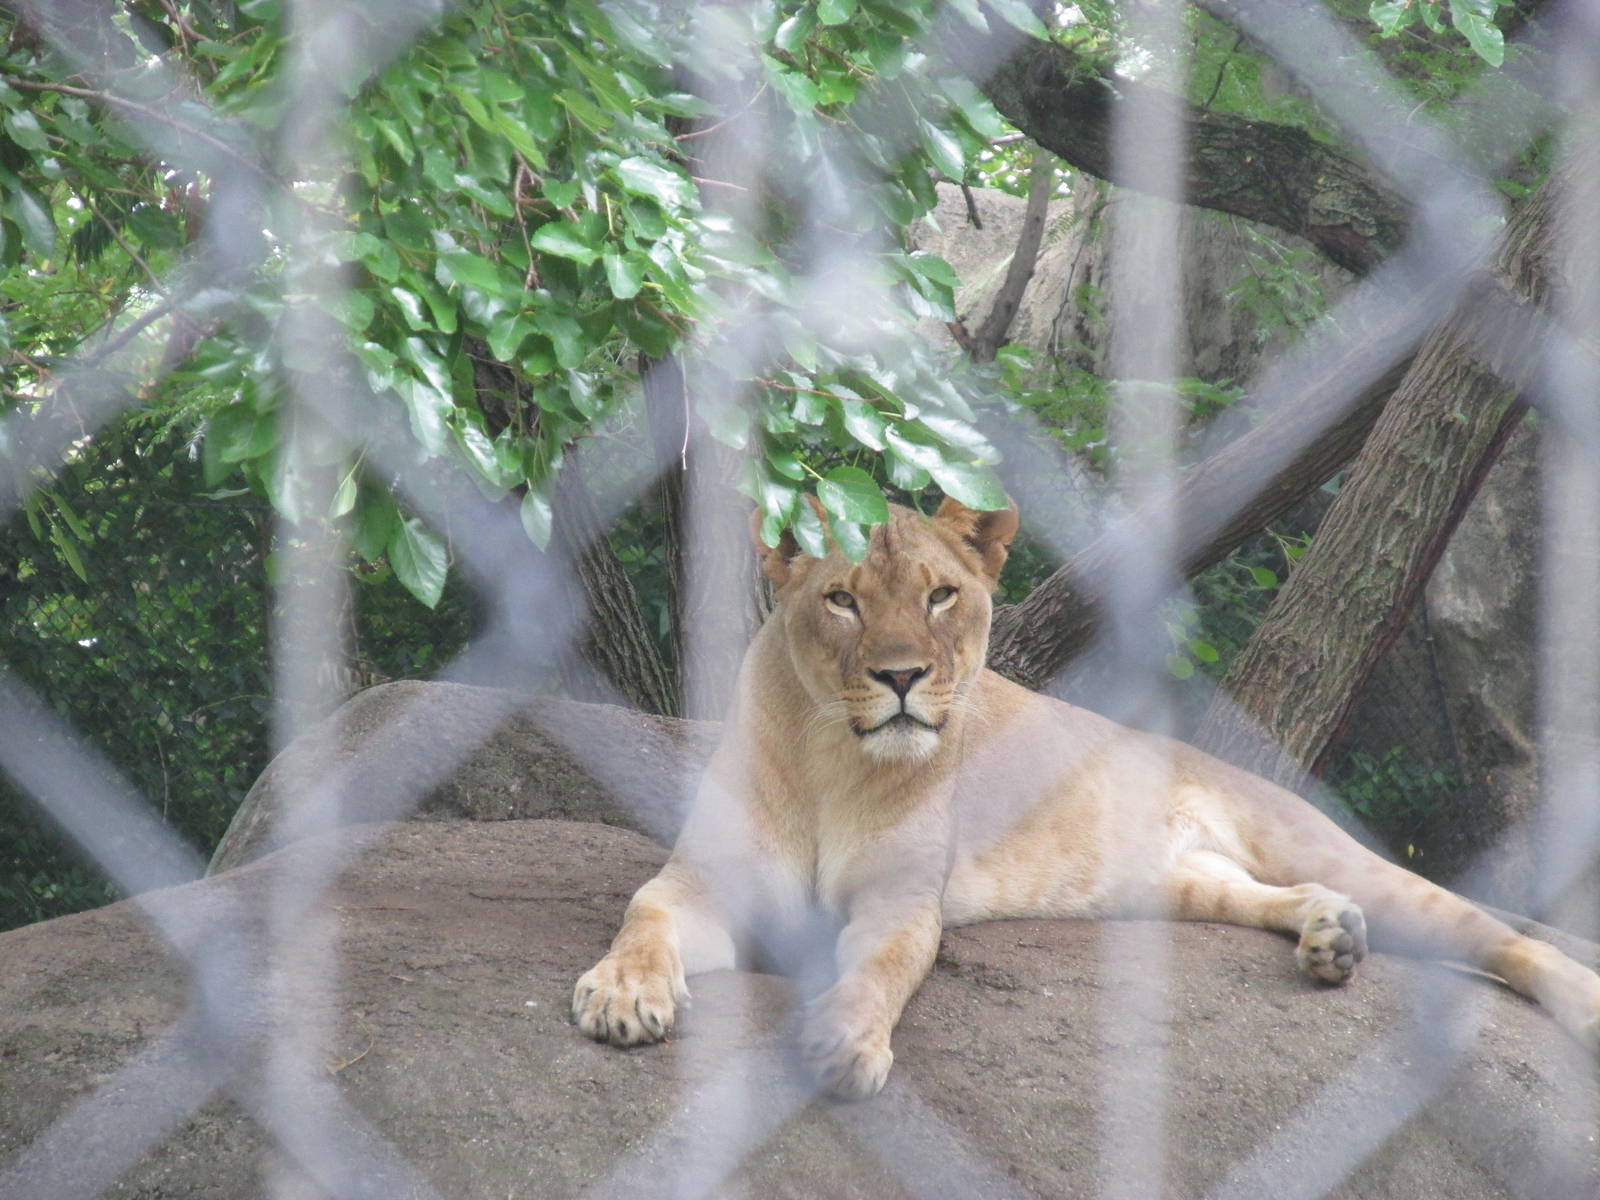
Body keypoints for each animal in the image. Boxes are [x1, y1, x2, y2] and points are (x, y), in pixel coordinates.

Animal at [573, 497, 1600, 1099]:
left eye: (941, 596)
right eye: (842, 600)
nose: (902, 677)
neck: (835, 758)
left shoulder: (901, 903)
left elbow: (878, 972)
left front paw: (842, 1040)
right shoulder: (704, 882)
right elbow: (643, 916)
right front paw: (624, 993)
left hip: (1326, 847)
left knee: (1494, 934)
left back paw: (1579, 1004)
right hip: (1176, 884)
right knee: (1276, 897)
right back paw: (1331, 938)